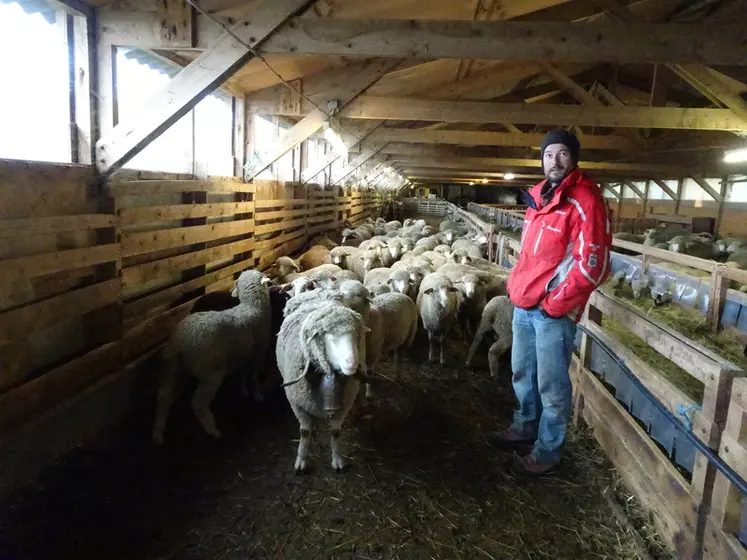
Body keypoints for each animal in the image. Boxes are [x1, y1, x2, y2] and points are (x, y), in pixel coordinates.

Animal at [152, 270, 272, 444]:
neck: (252, 306)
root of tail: (180, 341)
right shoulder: (258, 354)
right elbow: (253, 376)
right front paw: (257, 395)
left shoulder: (243, 355)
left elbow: (241, 374)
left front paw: (243, 391)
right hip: (210, 372)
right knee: (198, 403)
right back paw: (212, 430)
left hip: (175, 370)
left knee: (164, 398)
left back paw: (157, 433)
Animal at [276, 300, 370, 474]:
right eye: (331, 339)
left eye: (356, 337)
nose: (352, 363)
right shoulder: (298, 405)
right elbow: (305, 432)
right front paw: (301, 460)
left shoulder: (343, 407)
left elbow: (335, 432)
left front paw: (337, 460)